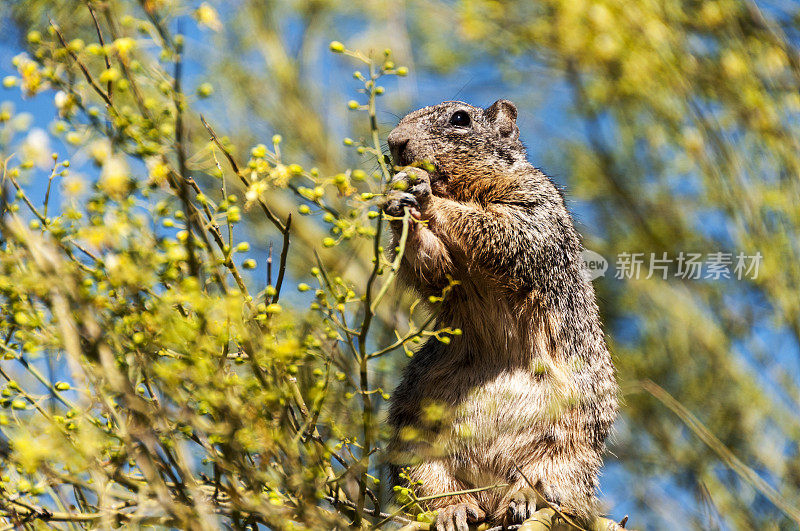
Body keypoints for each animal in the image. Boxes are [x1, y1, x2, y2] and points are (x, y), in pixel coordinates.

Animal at [382, 101, 620, 531]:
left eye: (460, 119)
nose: (395, 143)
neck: (461, 188)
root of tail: (490, 498)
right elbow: (430, 264)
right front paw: (396, 201)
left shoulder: (535, 208)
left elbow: (500, 227)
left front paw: (424, 195)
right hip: (416, 443)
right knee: (432, 487)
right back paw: (453, 509)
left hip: (572, 449)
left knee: (556, 485)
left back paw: (525, 496)